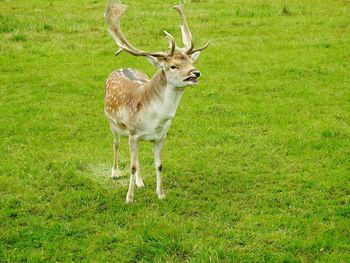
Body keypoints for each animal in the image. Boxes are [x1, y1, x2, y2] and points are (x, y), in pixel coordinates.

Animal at [104, 0, 208, 204]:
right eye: (173, 66)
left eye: (191, 62)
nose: (196, 73)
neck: (154, 120)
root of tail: (120, 67)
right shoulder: (133, 132)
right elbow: (132, 166)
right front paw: (129, 199)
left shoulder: (161, 136)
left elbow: (159, 164)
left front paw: (161, 194)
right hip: (113, 123)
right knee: (116, 143)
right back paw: (114, 173)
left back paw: (140, 182)